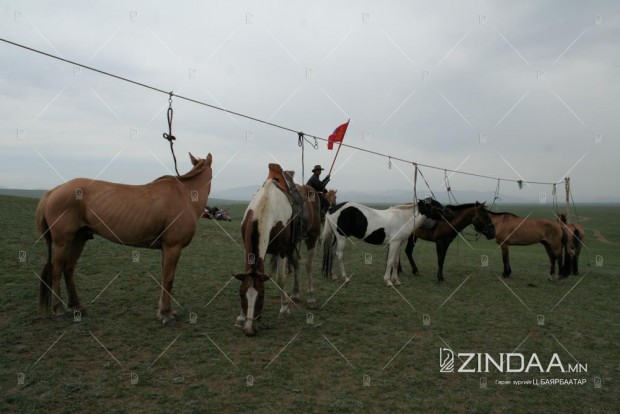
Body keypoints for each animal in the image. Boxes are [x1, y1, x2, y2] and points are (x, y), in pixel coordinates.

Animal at [35, 153, 213, 324]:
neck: (185, 195)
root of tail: (52, 191)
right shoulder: (173, 247)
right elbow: (168, 279)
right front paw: (166, 314)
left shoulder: (166, 249)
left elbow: (164, 278)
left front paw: (165, 311)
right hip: (63, 241)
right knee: (57, 270)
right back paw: (58, 310)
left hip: (78, 239)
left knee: (69, 268)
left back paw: (77, 306)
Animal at [235, 163, 299, 336]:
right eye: (241, 294)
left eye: (262, 296)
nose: (250, 330)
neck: (265, 206)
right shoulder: (246, 248)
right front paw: (241, 317)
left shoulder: (282, 250)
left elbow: (281, 278)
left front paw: (284, 308)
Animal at [321, 198, 454, 286]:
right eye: (436, 205)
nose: (451, 215)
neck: (403, 218)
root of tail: (333, 208)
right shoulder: (394, 243)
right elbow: (390, 261)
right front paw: (388, 281)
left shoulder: (399, 243)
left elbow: (395, 262)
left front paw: (396, 280)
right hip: (341, 237)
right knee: (339, 255)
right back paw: (345, 278)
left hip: (337, 237)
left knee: (332, 253)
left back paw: (333, 275)